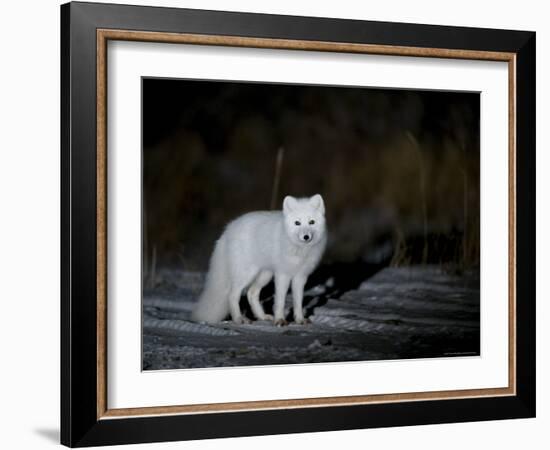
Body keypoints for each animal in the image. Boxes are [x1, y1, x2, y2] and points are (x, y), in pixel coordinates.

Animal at [193, 195, 328, 326]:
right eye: (297, 223)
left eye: (311, 222)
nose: (306, 237)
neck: (299, 249)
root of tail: (228, 230)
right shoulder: (282, 274)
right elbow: (280, 300)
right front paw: (280, 320)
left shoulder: (300, 277)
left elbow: (298, 301)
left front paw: (300, 320)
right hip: (246, 274)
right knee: (232, 295)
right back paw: (239, 319)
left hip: (265, 275)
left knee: (251, 293)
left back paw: (262, 317)